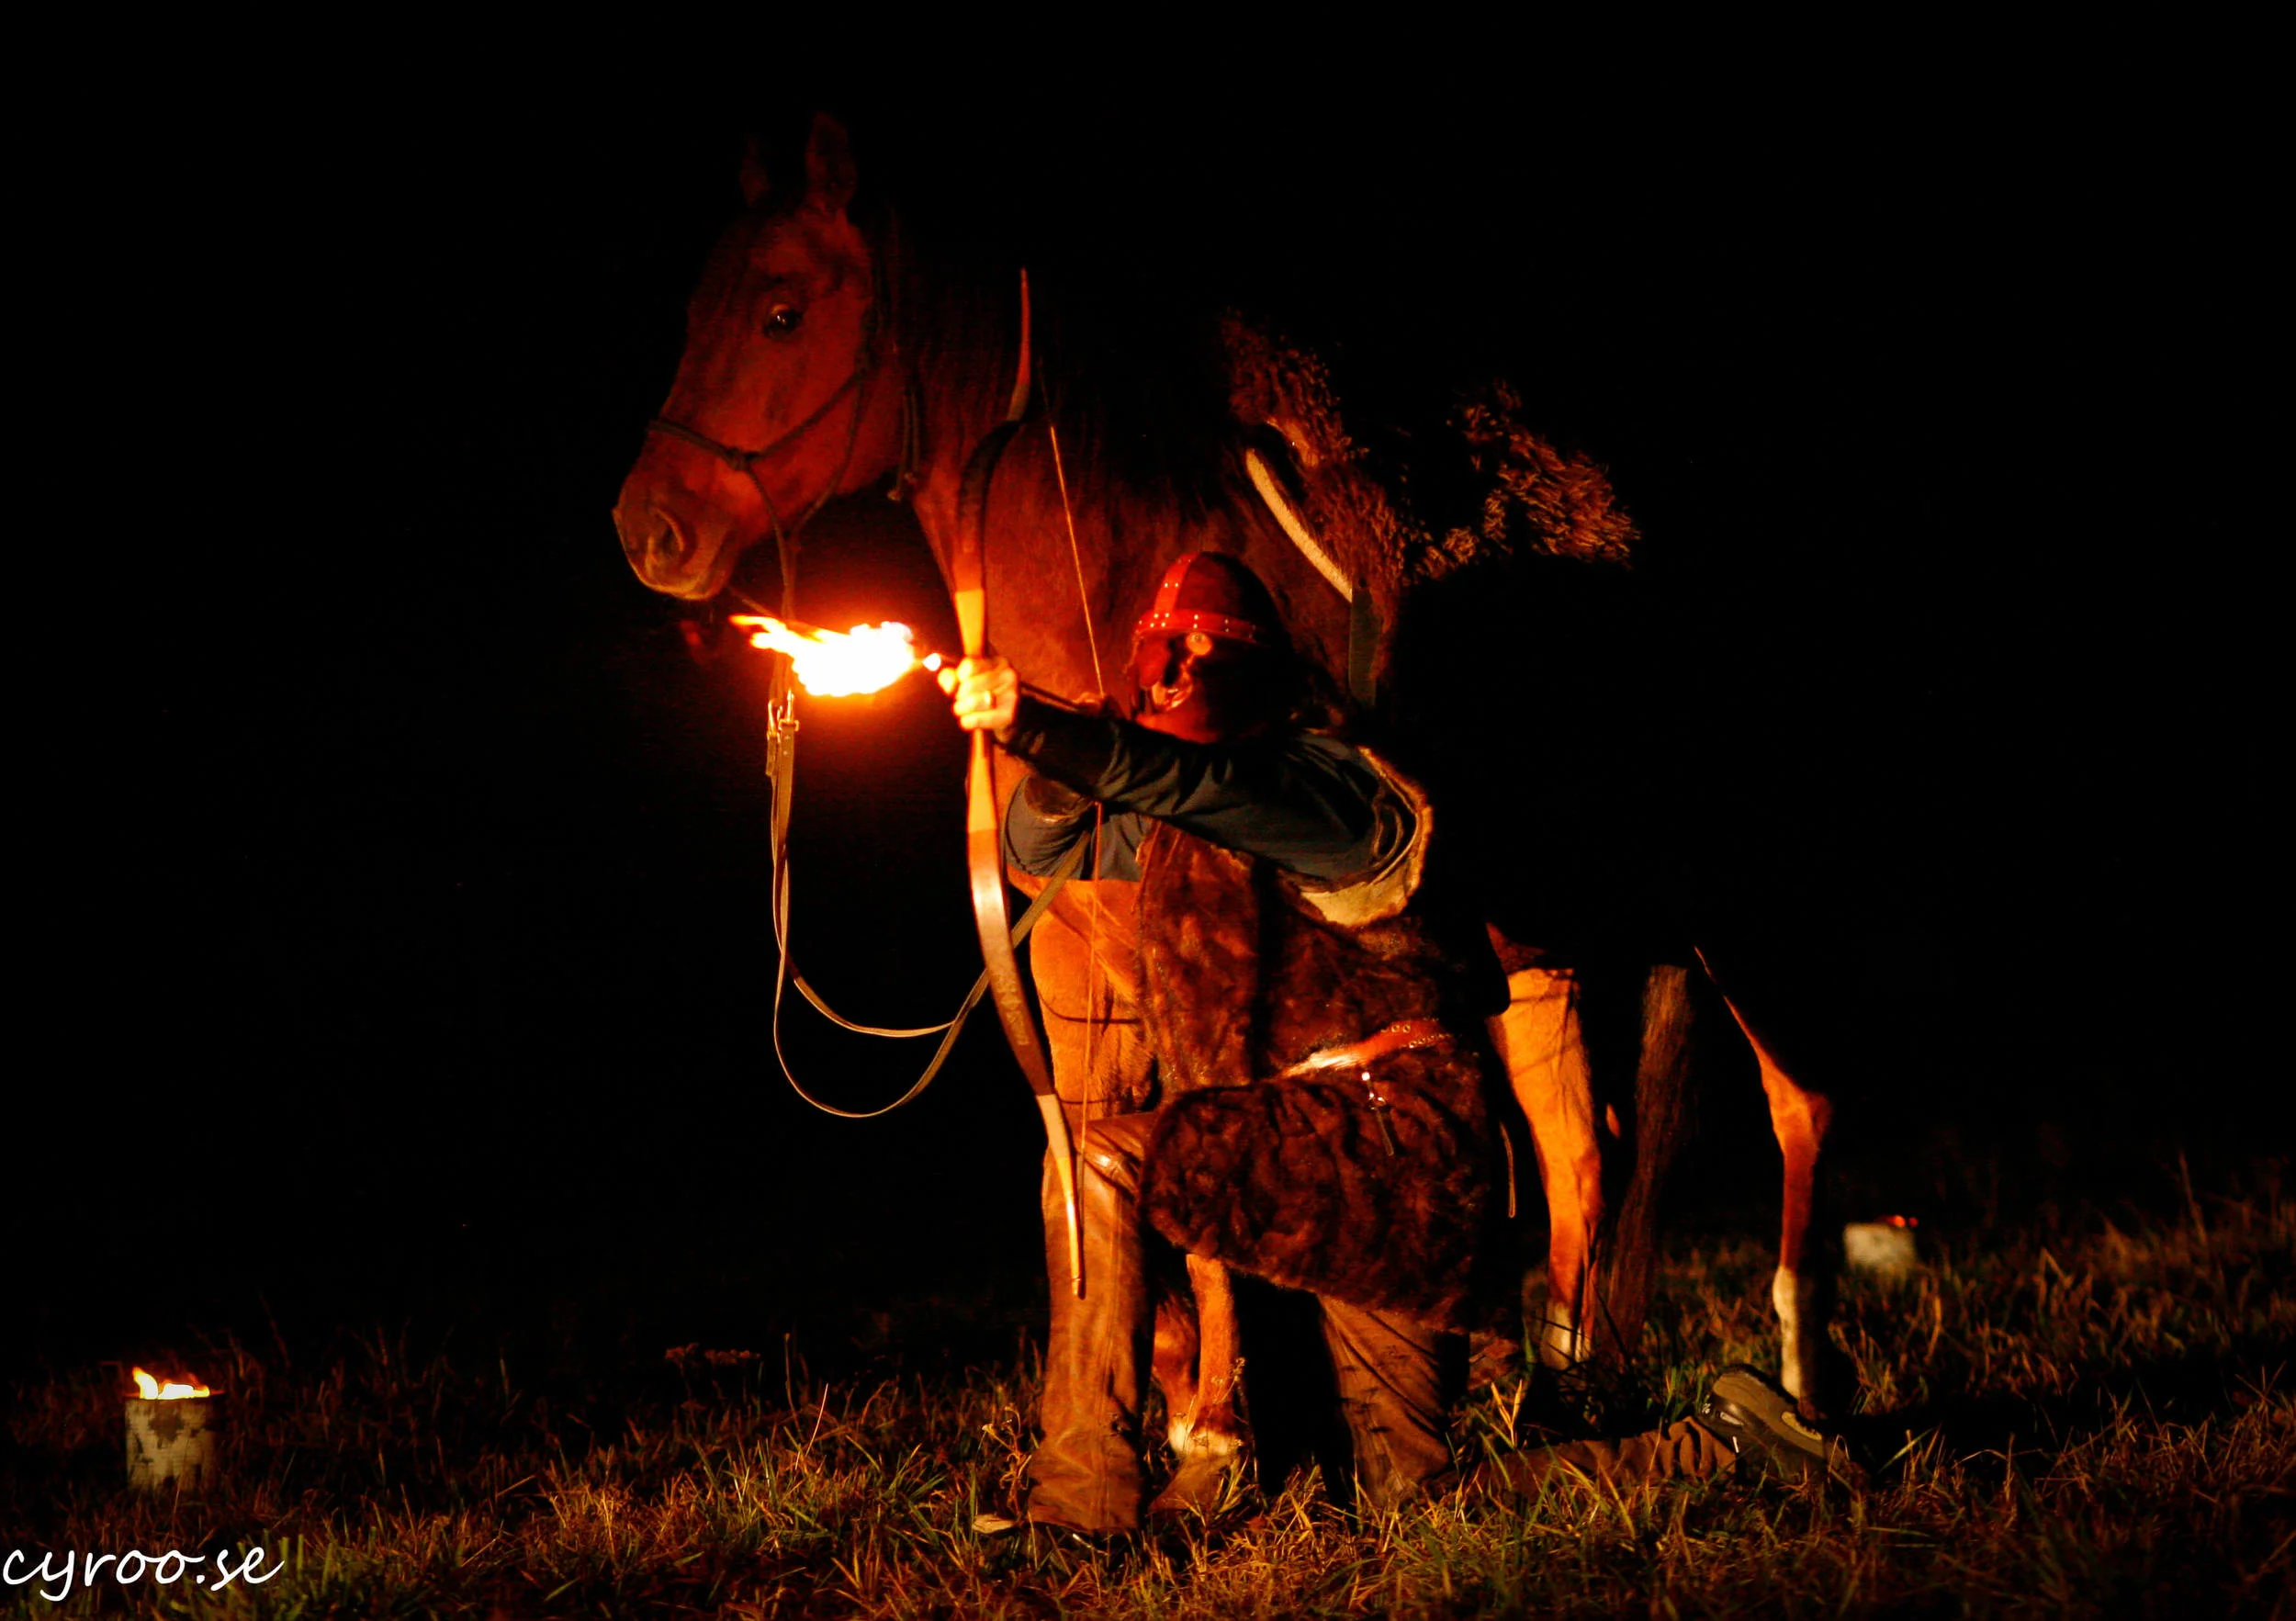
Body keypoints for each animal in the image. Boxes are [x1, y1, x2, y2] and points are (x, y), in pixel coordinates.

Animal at [611, 116, 1849, 1465]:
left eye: (782, 310)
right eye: (693, 309)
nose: (649, 529)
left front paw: (1210, 1430)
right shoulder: (1076, 967)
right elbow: (1077, 1180)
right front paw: (1125, 1422)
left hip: (1743, 911)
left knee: (1799, 1104)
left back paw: (1800, 1382)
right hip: (1548, 943)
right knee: (1585, 1152)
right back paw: (1564, 1385)